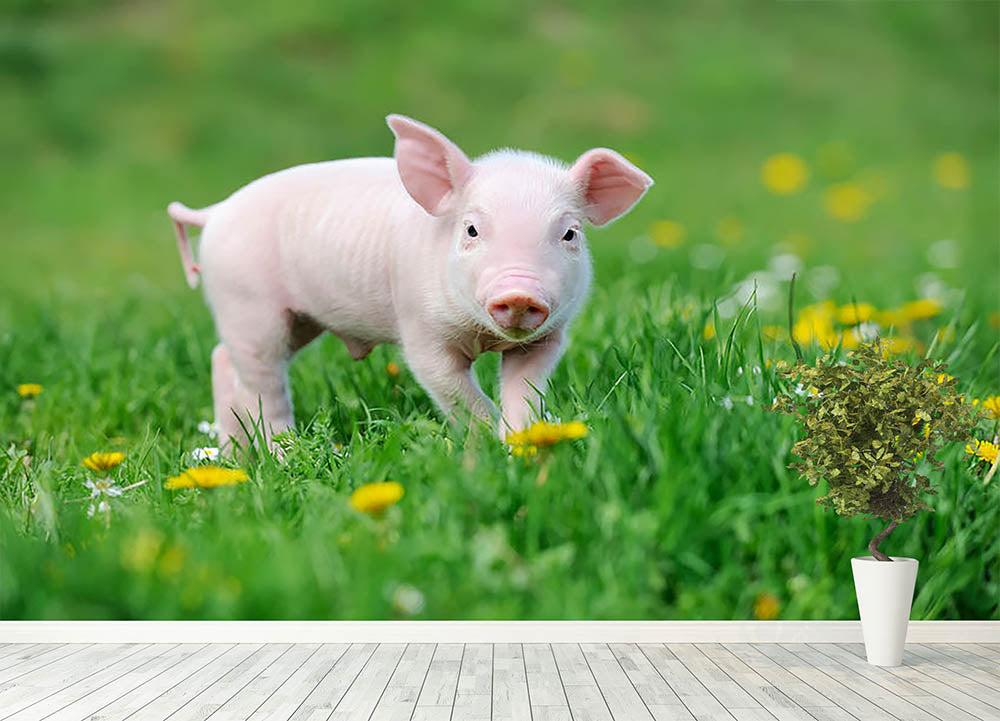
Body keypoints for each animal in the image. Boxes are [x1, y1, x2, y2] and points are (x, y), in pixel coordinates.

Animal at [168, 115, 652, 449]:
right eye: (471, 229)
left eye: (570, 233)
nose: (519, 292)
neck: (482, 336)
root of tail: (214, 211)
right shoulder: (421, 332)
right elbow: (455, 392)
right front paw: (485, 448)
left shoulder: (548, 338)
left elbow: (524, 392)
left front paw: (521, 444)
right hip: (247, 304)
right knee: (263, 387)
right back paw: (284, 455)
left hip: (294, 319)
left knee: (224, 363)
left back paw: (234, 458)